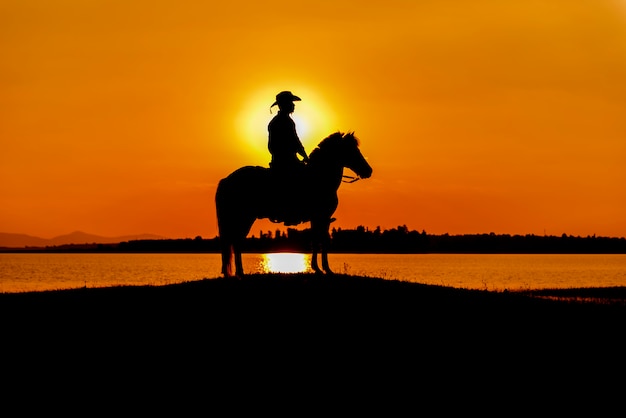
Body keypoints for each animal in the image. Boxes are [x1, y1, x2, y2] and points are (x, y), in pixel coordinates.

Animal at [214, 132, 370, 278]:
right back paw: (240, 272)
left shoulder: (318, 218)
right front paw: (325, 269)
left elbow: (316, 241)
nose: (369, 170)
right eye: (352, 150)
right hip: (245, 217)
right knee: (236, 241)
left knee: (234, 241)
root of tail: (227, 179)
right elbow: (322, 241)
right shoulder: (322, 217)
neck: (320, 177)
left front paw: (318, 268)